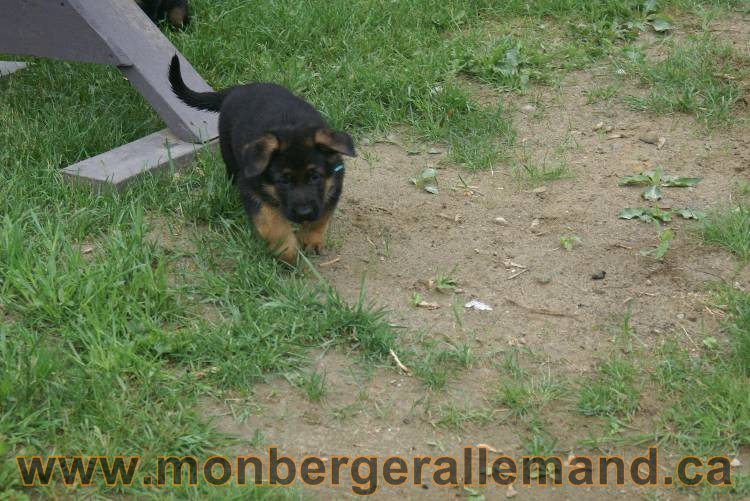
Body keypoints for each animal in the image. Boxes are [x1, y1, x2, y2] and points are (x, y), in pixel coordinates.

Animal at [169, 56, 356, 264]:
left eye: (315, 177)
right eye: (283, 181)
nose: (303, 213)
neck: (292, 126)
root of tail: (238, 88)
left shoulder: (333, 186)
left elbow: (321, 218)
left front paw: (311, 240)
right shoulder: (251, 189)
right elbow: (272, 224)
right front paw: (287, 252)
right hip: (228, 153)